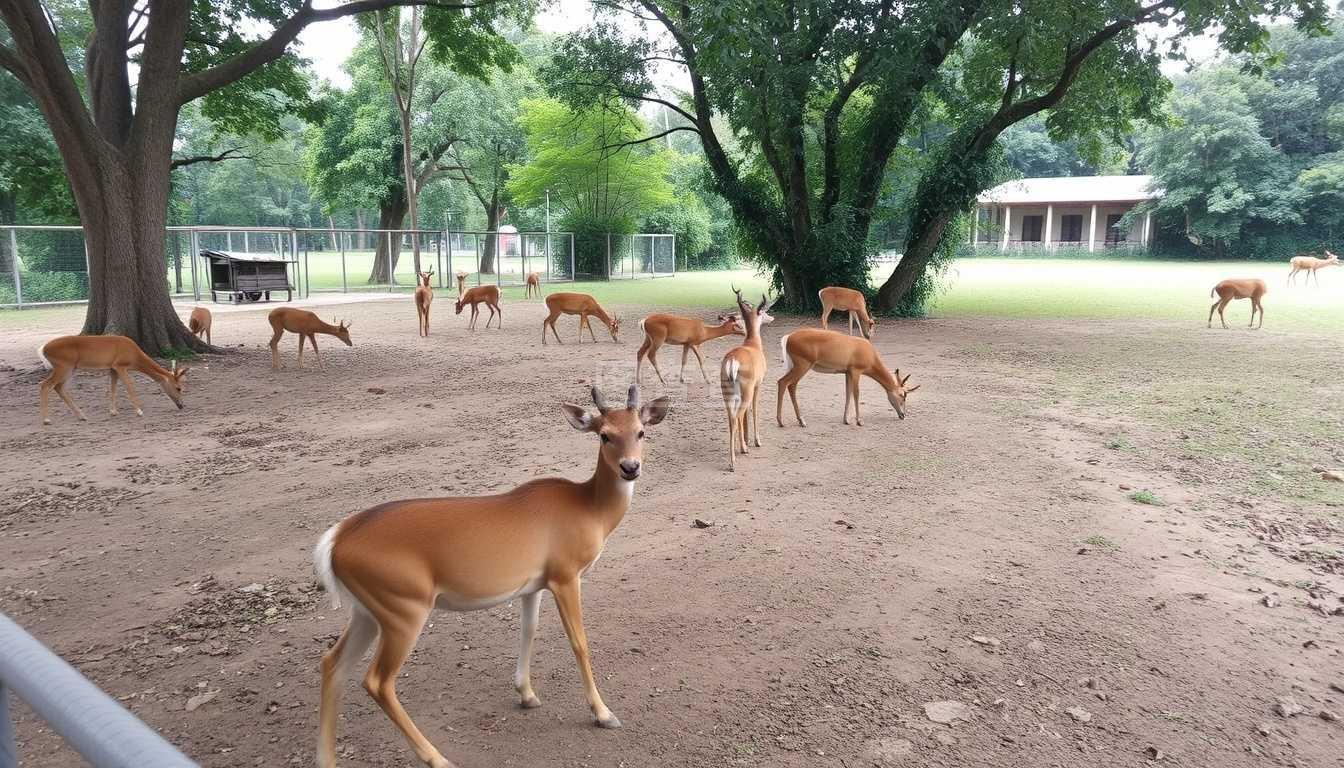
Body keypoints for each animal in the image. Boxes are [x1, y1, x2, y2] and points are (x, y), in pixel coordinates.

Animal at [37, 335, 189, 425]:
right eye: (179, 388)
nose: (182, 405)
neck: (134, 356)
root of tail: (43, 349)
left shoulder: (112, 368)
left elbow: (113, 387)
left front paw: (113, 411)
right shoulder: (120, 365)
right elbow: (129, 386)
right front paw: (139, 411)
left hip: (70, 368)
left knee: (59, 387)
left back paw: (82, 416)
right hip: (63, 366)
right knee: (45, 384)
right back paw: (46, 419)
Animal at [313, 384, 670, 768]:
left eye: (641, 432)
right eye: (604, 435)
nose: (630, 467)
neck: (589, 510)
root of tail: (335, 541)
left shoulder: (533, 584)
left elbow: (529, 630)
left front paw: (526, 693)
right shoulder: (565, 574)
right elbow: (579, 641)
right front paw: (603, 713)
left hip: (367, 610)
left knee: (331, 664)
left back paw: (326, 758)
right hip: (403, 609)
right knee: (377, 681)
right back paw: (437, 757)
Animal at [719, 288, 775, 471]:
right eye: (763, 311)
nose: (771, 317)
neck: (752, 344)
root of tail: (732, 361)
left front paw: (747, 440)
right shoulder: (758, 386)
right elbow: (754, 410)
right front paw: (756, 441)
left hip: (729, 395)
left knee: (732, 420)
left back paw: (734, 457)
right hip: (747, 392)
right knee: (737, 417)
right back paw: (736, 458)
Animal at [777, 328, 919, 428]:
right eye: (903, 395)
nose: (903, 415)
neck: (870, 354)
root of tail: (788, 337)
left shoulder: (847, 373)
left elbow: (847, 393)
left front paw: (846, 420)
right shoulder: (856, 371)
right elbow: (856, 393)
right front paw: (859, 421)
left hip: (795, 367)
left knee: (791, 386)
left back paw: (800, 421)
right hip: (802, 366)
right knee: (783, 382)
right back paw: (783, 421)